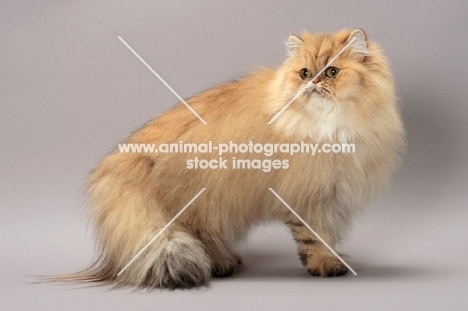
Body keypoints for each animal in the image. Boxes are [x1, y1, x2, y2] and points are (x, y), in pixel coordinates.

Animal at [58, 28, 404, 290]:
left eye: (332, 71)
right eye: (304, 72)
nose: (314, 83)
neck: (331, 127)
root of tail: (129, 158)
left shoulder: (330, 194)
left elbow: (329, 235)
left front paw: (333, 260)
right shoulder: (306, 196)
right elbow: (315, 238)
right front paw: (323, 265)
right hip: (200, 205)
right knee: (201, 237)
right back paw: (221, 264)